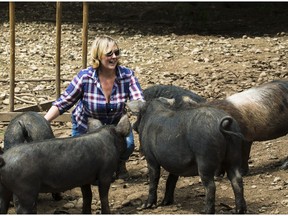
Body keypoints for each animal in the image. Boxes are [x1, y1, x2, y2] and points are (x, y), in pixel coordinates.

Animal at [0, 114, 130, 213]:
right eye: (124, 138)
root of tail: (4, 159)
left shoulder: (84, 178)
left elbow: (87, 196)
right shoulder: (106, 173)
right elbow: (103, 197)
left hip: (4, 188)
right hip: (25, 190)